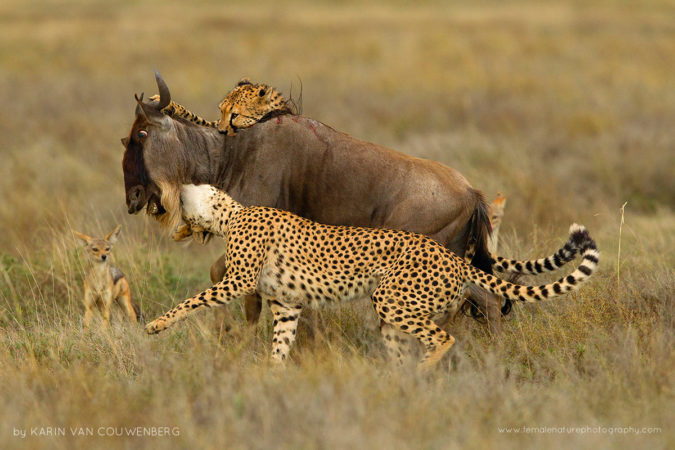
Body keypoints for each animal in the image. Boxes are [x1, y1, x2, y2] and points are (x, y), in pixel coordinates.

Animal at [146, 184, 600, 371]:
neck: (234, 212)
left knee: (443, 338)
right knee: (410, 343)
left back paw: (422, 371)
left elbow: (193, 300)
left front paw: (156, 324)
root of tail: (452, 257)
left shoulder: (237, 281)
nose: (172, 209)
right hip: (398, 311)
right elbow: (281, 344)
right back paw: (399, 381)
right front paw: (270, 377)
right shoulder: (288, 307)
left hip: (392, 298)